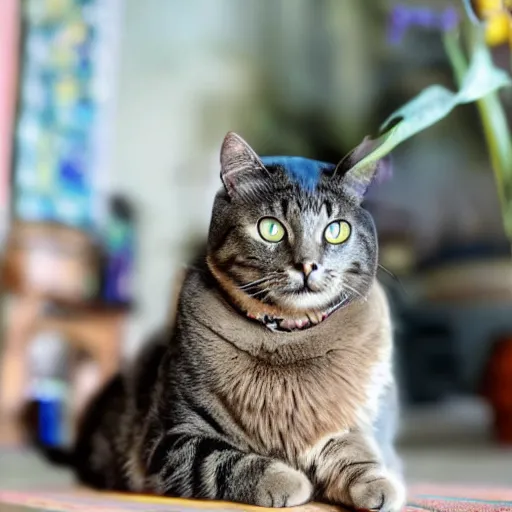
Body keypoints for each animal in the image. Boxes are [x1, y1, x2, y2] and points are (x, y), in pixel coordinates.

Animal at [34, 133, 406, 512]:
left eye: (336, 231)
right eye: (271, 229)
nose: (307, 265)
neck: (287, 336)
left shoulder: (339, 427)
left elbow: (352, 451)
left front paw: (378, 483)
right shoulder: (172, 442)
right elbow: (228, 462)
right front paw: (288, 479)